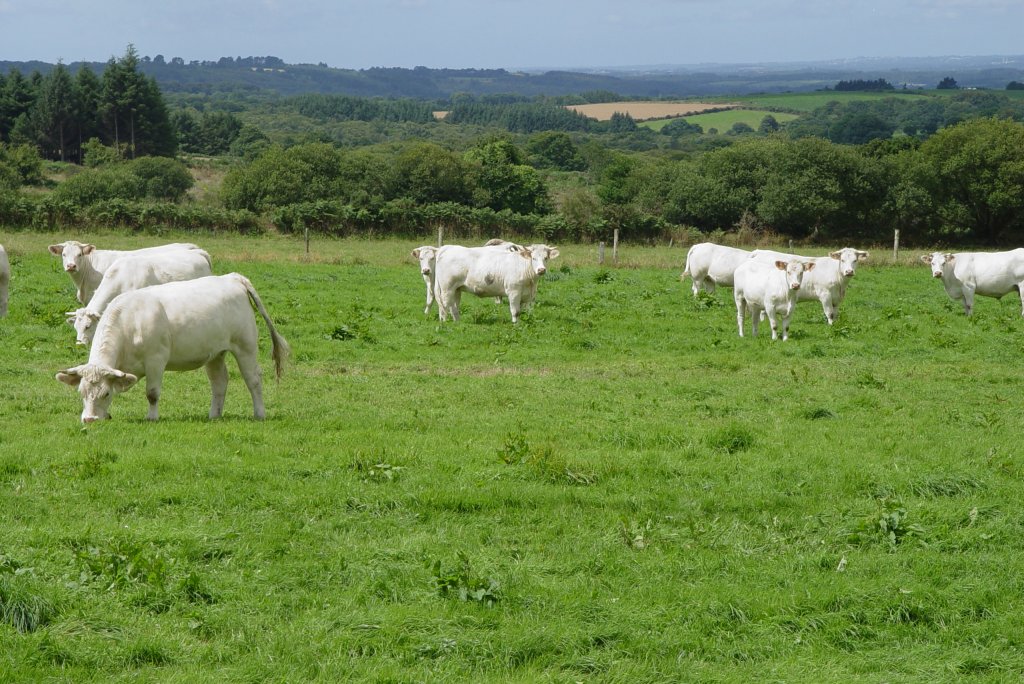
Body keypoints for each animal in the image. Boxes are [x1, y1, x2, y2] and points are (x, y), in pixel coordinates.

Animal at [56, 272, 290, 421]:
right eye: (81, 392)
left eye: (105, 394)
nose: (90, 419)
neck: (130, 322)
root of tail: (232, 278)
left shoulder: (156, 360)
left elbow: (152, 393)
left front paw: (152, 417)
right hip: (215, 353)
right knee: (219, 382)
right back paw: (214, 415)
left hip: (245, 346)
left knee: (253, 379)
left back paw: (259, 414)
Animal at [432, 242, 561, 323]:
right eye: (533, 258)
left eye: (546, 258)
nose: (541, 270)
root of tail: (447, 247)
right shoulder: (513, 292)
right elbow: (515, 311)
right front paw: (516, 325)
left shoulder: (528, 296)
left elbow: (525, 311)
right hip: (447, 288)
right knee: (444, 305)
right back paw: (444, 322)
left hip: (456, 289)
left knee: (454, 306)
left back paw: (457, 322)